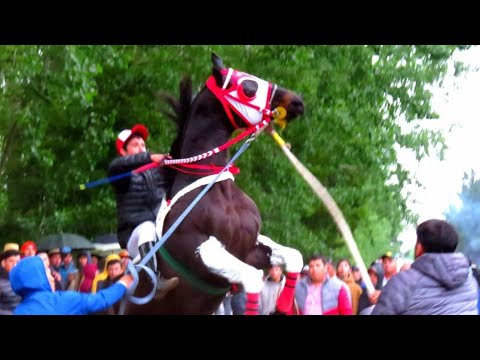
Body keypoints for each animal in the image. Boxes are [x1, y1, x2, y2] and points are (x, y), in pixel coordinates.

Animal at [124, 53, 304, 316]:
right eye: (249, 87)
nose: (297, 102)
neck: (216, 189)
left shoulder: (249, 249)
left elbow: (294, 257)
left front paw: (282, 306)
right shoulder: (203, 251)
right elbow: (252, 279)